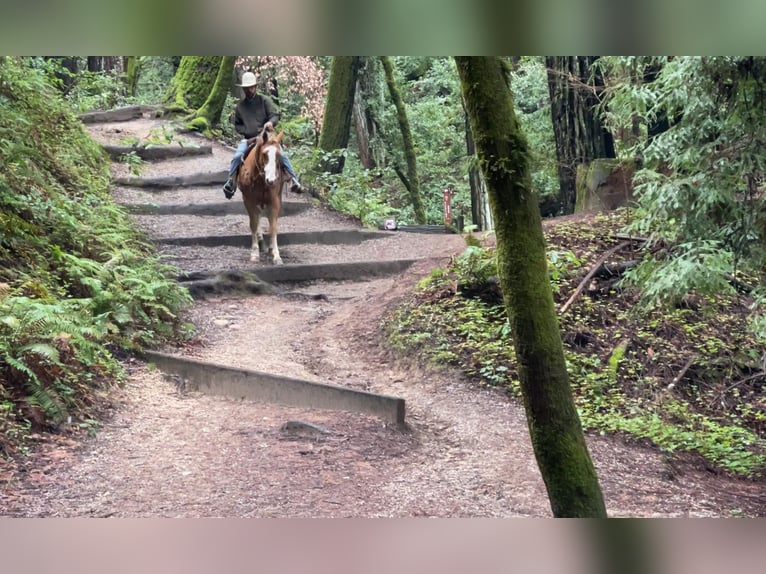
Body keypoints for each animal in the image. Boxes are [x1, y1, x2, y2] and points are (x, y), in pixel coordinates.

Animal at [237, 127, 288, 264]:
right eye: (264, 154)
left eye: (279, 155)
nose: (271, 180)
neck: (260, 180)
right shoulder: (249, 201)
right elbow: (254, 225)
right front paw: (254, 253)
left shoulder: (275, 200)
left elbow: (273, 227)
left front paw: (276, 255)